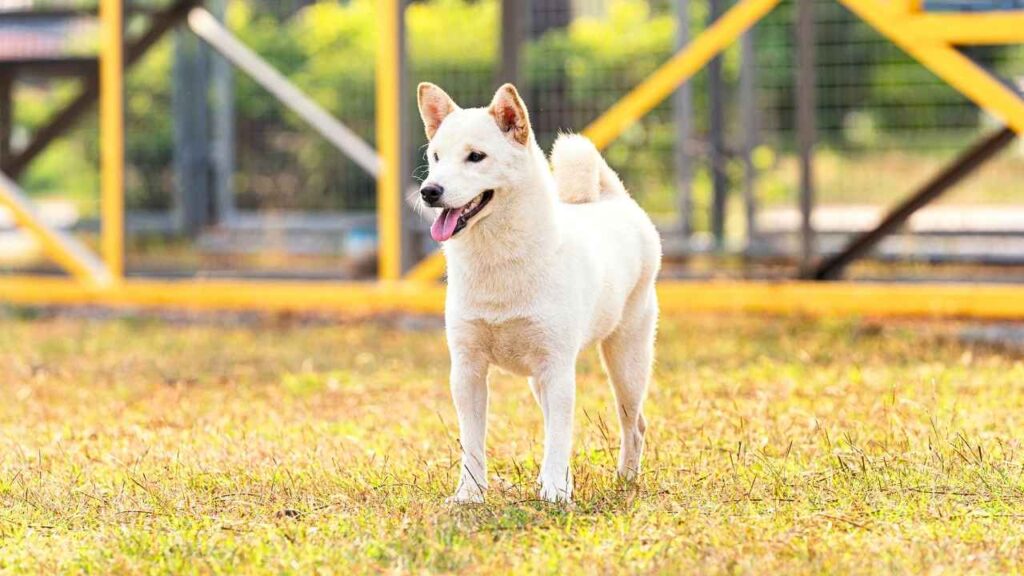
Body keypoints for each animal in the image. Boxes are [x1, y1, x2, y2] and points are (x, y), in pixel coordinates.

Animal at [415, 83, 663, 500]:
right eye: (435, 157)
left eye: (475, 157)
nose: (429, 190)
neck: (498, 264)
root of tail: (615, 201)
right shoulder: (467, 368)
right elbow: (473, 442)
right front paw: (470, 495)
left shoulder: (558, 366)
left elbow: (560, 436)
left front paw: (555, 494)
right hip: (538, 379)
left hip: (626, 360)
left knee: (635, 424)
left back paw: (626, 478)